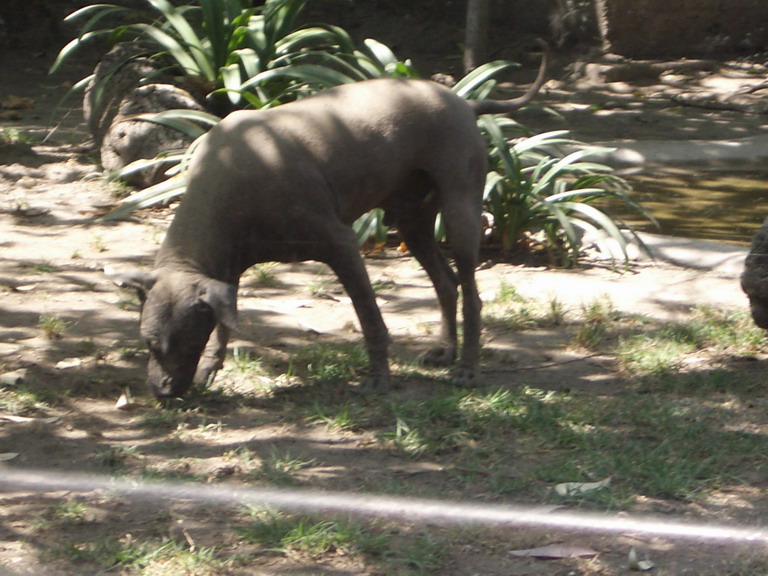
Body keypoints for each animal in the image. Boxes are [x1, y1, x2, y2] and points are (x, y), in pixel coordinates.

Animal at [120, 51, 548, 398]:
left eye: (184, 342)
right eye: (148, 344)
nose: (162, 393)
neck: (228, 176)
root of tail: (463, 100)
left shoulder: (341, 245)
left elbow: (371, 320)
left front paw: (379, 379)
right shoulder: (226, 269)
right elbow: (224, 326)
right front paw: (209, 370)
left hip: (460, 212)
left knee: (472, 292)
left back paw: (467, 369)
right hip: (412, 221)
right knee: (447, 282)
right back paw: (446, 350)